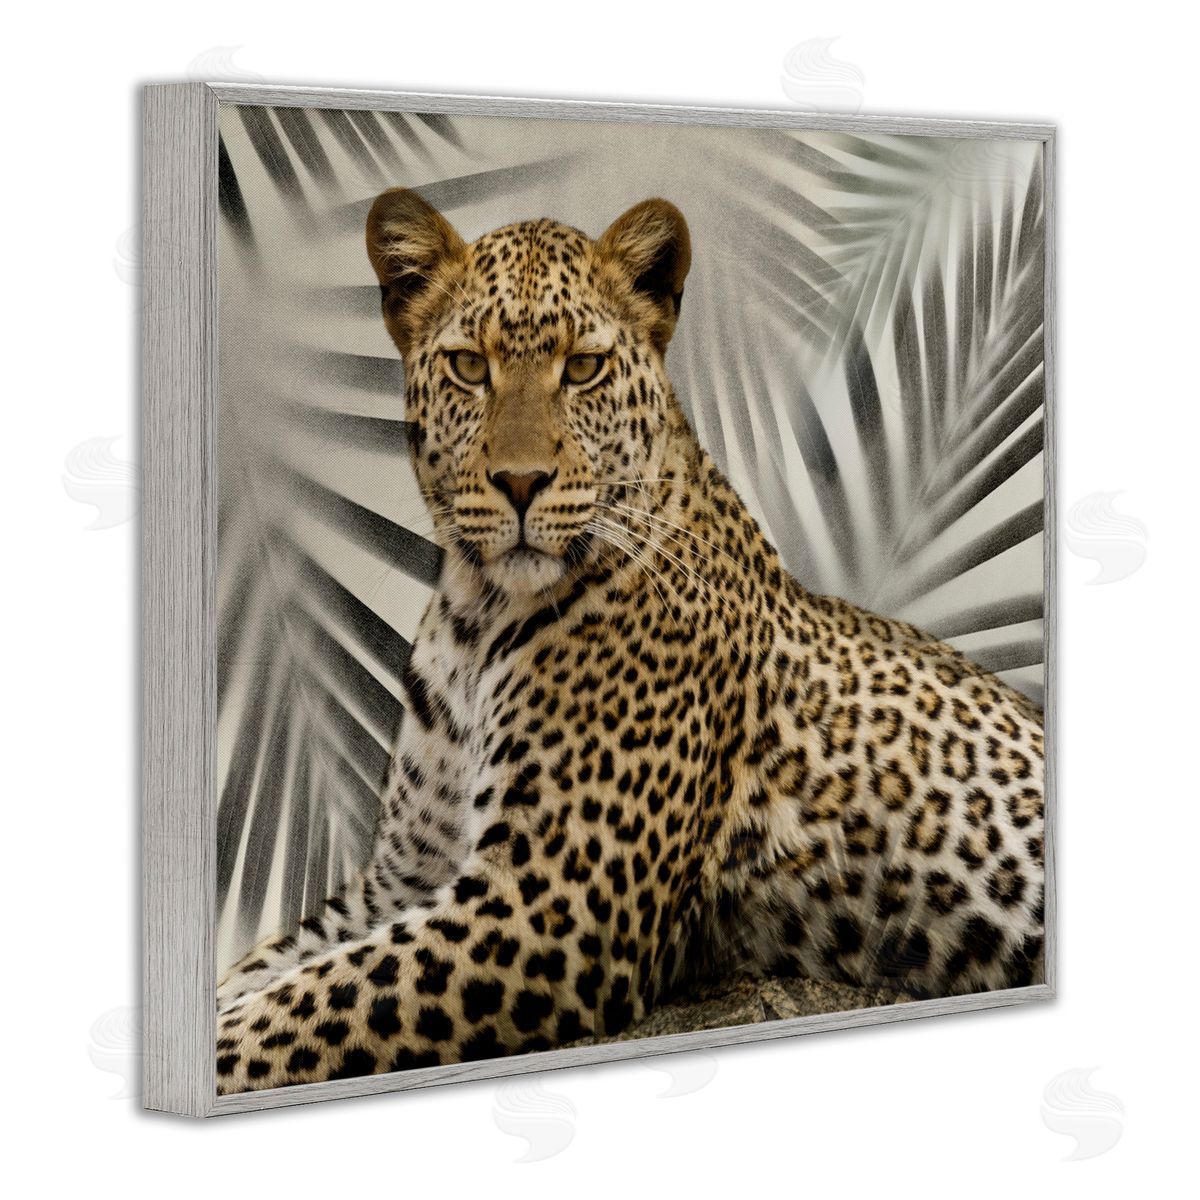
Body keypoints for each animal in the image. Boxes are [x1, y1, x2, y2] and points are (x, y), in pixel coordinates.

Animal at [214, 188, 1046, 1093]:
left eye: (583, 369)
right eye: (469, 366)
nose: (519, 482)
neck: (475, 615)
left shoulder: (551, 903)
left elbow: (291, 1012)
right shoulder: (400, 879)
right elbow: (266, 973)